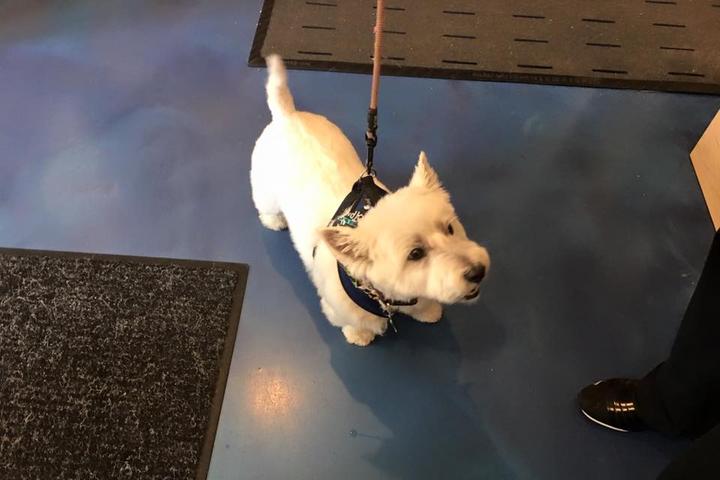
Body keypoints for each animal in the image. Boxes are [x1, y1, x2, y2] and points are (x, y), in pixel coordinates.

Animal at [250, 56, 490, 346]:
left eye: (450, 228)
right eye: (415, 254)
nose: (478, 271)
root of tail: (287, 116)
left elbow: (421, 304)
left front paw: (429, 311)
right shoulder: (338, 307)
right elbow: (355, 322)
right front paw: (360, 335)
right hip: (265, 190)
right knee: (267, 208)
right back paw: (274, 221)